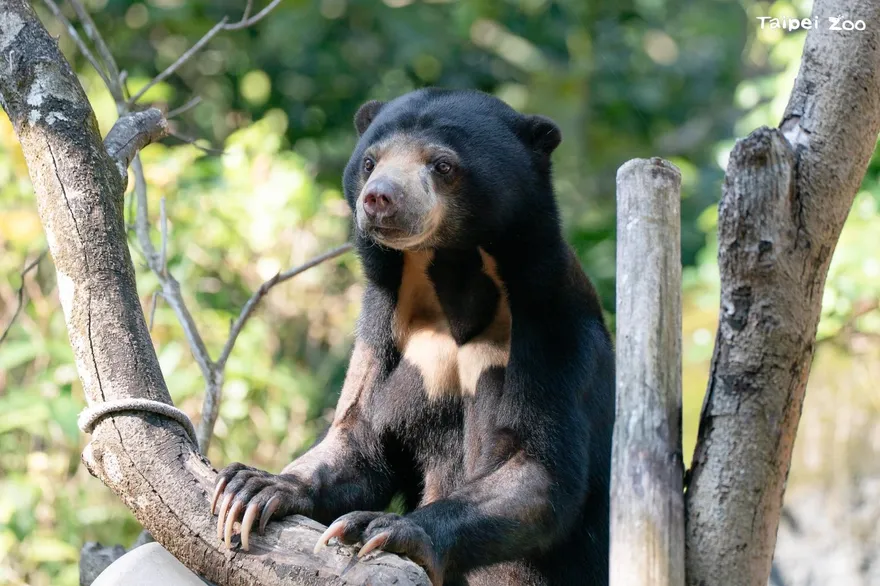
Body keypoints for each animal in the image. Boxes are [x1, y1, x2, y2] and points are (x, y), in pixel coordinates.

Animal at [211, 88, 615, 586]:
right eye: (370, 161)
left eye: (442, 165)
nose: (379, 198)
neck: (453, 275)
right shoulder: (382, 324)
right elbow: (362, 437)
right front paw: (253, 488)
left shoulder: (551, 324)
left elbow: (538, 468)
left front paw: (382, 527)